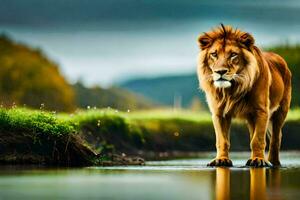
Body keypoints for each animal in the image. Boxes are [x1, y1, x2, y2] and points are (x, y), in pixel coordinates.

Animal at [196, 24, 292, 167]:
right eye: (214, 54)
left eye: (233, 55)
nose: (220, 72)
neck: (232, 90)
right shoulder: (219, 113)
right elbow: (222, 140)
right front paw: (221, 160)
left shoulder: (261, 111)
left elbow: (258, 139)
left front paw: (258, 160)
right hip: (252, 118)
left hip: (280, 112)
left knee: (276, 138)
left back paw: (273, 162)